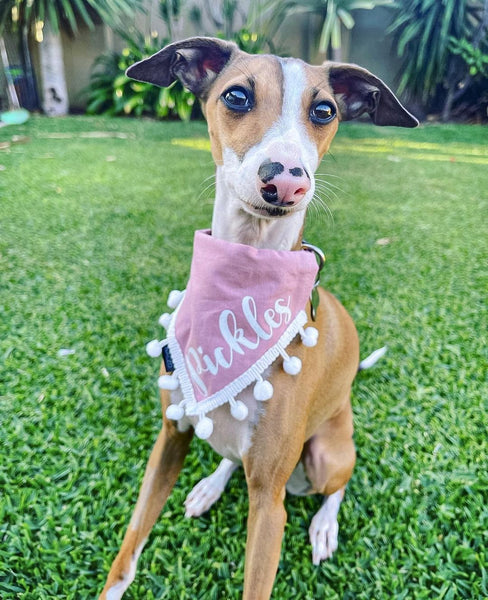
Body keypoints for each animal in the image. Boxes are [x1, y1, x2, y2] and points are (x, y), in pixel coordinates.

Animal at [100, 38, 420, 600]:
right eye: (236, 96)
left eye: (324, 111)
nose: (288, 182)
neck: (244, 277)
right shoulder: (169, 437)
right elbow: (130, 546)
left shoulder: (270, 505)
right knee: (231, 451)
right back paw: (211, 485)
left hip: (325, 454)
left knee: (336, 484)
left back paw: (324, 525)